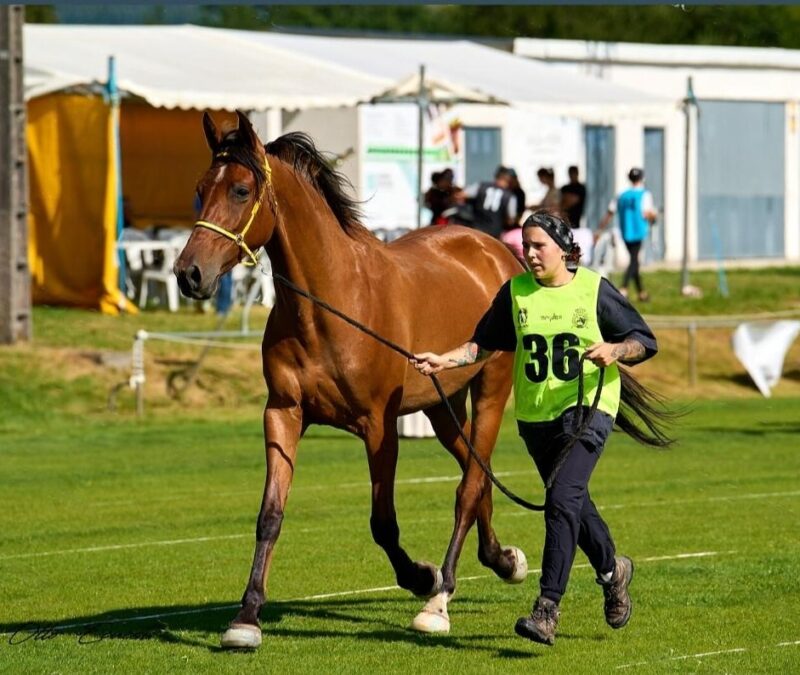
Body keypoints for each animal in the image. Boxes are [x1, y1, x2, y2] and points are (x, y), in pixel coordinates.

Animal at [173, 113, 524, 652]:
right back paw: (501, 560)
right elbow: (269, 517)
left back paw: (440, 597)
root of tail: (496, 250)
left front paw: (421, 576)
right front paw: (246, 618)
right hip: (442, 405)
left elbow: (383, 523)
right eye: (199, 189)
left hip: (492, 390)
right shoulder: (283, 414)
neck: (331, 304)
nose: (189, 273)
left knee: (468, 487)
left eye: (240, 189)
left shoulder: (379, 428)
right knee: (477, 472)